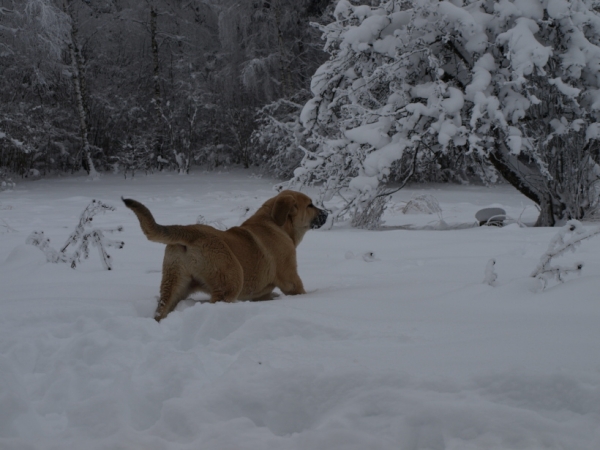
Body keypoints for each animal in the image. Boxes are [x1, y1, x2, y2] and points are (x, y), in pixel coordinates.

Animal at [123, 190, 328, 320]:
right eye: (310, 205)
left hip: (174, 283)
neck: (276, 223)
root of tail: (190, 232)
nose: (326, 213)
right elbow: (299, 290)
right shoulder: (290, 277)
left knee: (161, 311)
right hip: (230, 280)